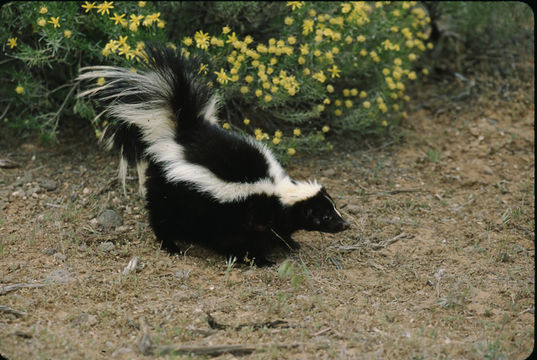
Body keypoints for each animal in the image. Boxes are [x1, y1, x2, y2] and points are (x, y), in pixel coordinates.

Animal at [77, 46, 350, 266]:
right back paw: (171, 245)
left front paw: (289, 243)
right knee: (160, 217)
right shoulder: (240, 215)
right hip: (168, 189)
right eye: (324, 216)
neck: (275, 192)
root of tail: (183, 133)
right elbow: (239, 242)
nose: (345, 224)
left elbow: (279, 231)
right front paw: (259, 260)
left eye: (334, 207)